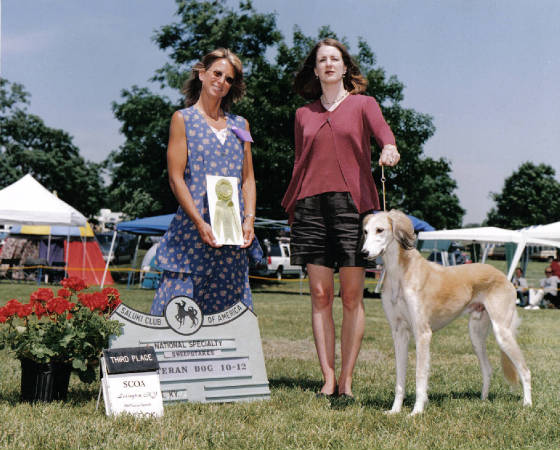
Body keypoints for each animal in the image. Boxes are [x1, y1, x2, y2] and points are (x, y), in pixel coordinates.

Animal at [360, 210, 532, 414]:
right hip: (476, 334)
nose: (363, 253)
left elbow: (420, 375)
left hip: (502, 332)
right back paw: (483, 400)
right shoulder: (399, 332)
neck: (400, 273)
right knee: (488, 369)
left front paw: (416, 411)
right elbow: (399, 378)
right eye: (365, 231)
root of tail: (504, 277)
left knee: (525, 370)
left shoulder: (422, 333)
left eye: (380, 230)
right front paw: (395, 411)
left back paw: (527, 404)